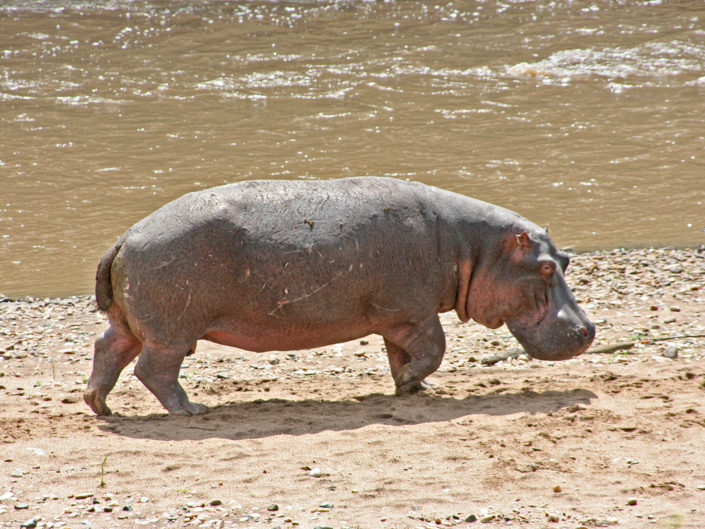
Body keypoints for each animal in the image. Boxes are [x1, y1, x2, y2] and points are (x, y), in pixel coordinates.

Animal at [84, 177, 595, 416]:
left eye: (566, 259)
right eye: (546, 266)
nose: (588, 329)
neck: (472, 246)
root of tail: (125, 237)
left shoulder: (396, 319)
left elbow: (402, 355)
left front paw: (410, 387)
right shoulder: (413, 312)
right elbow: (435, 348)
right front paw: (413, 381)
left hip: (131, 323)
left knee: (108, 350)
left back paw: (100, 405)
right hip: (172, 331)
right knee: (155, 370)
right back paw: (191, 409)